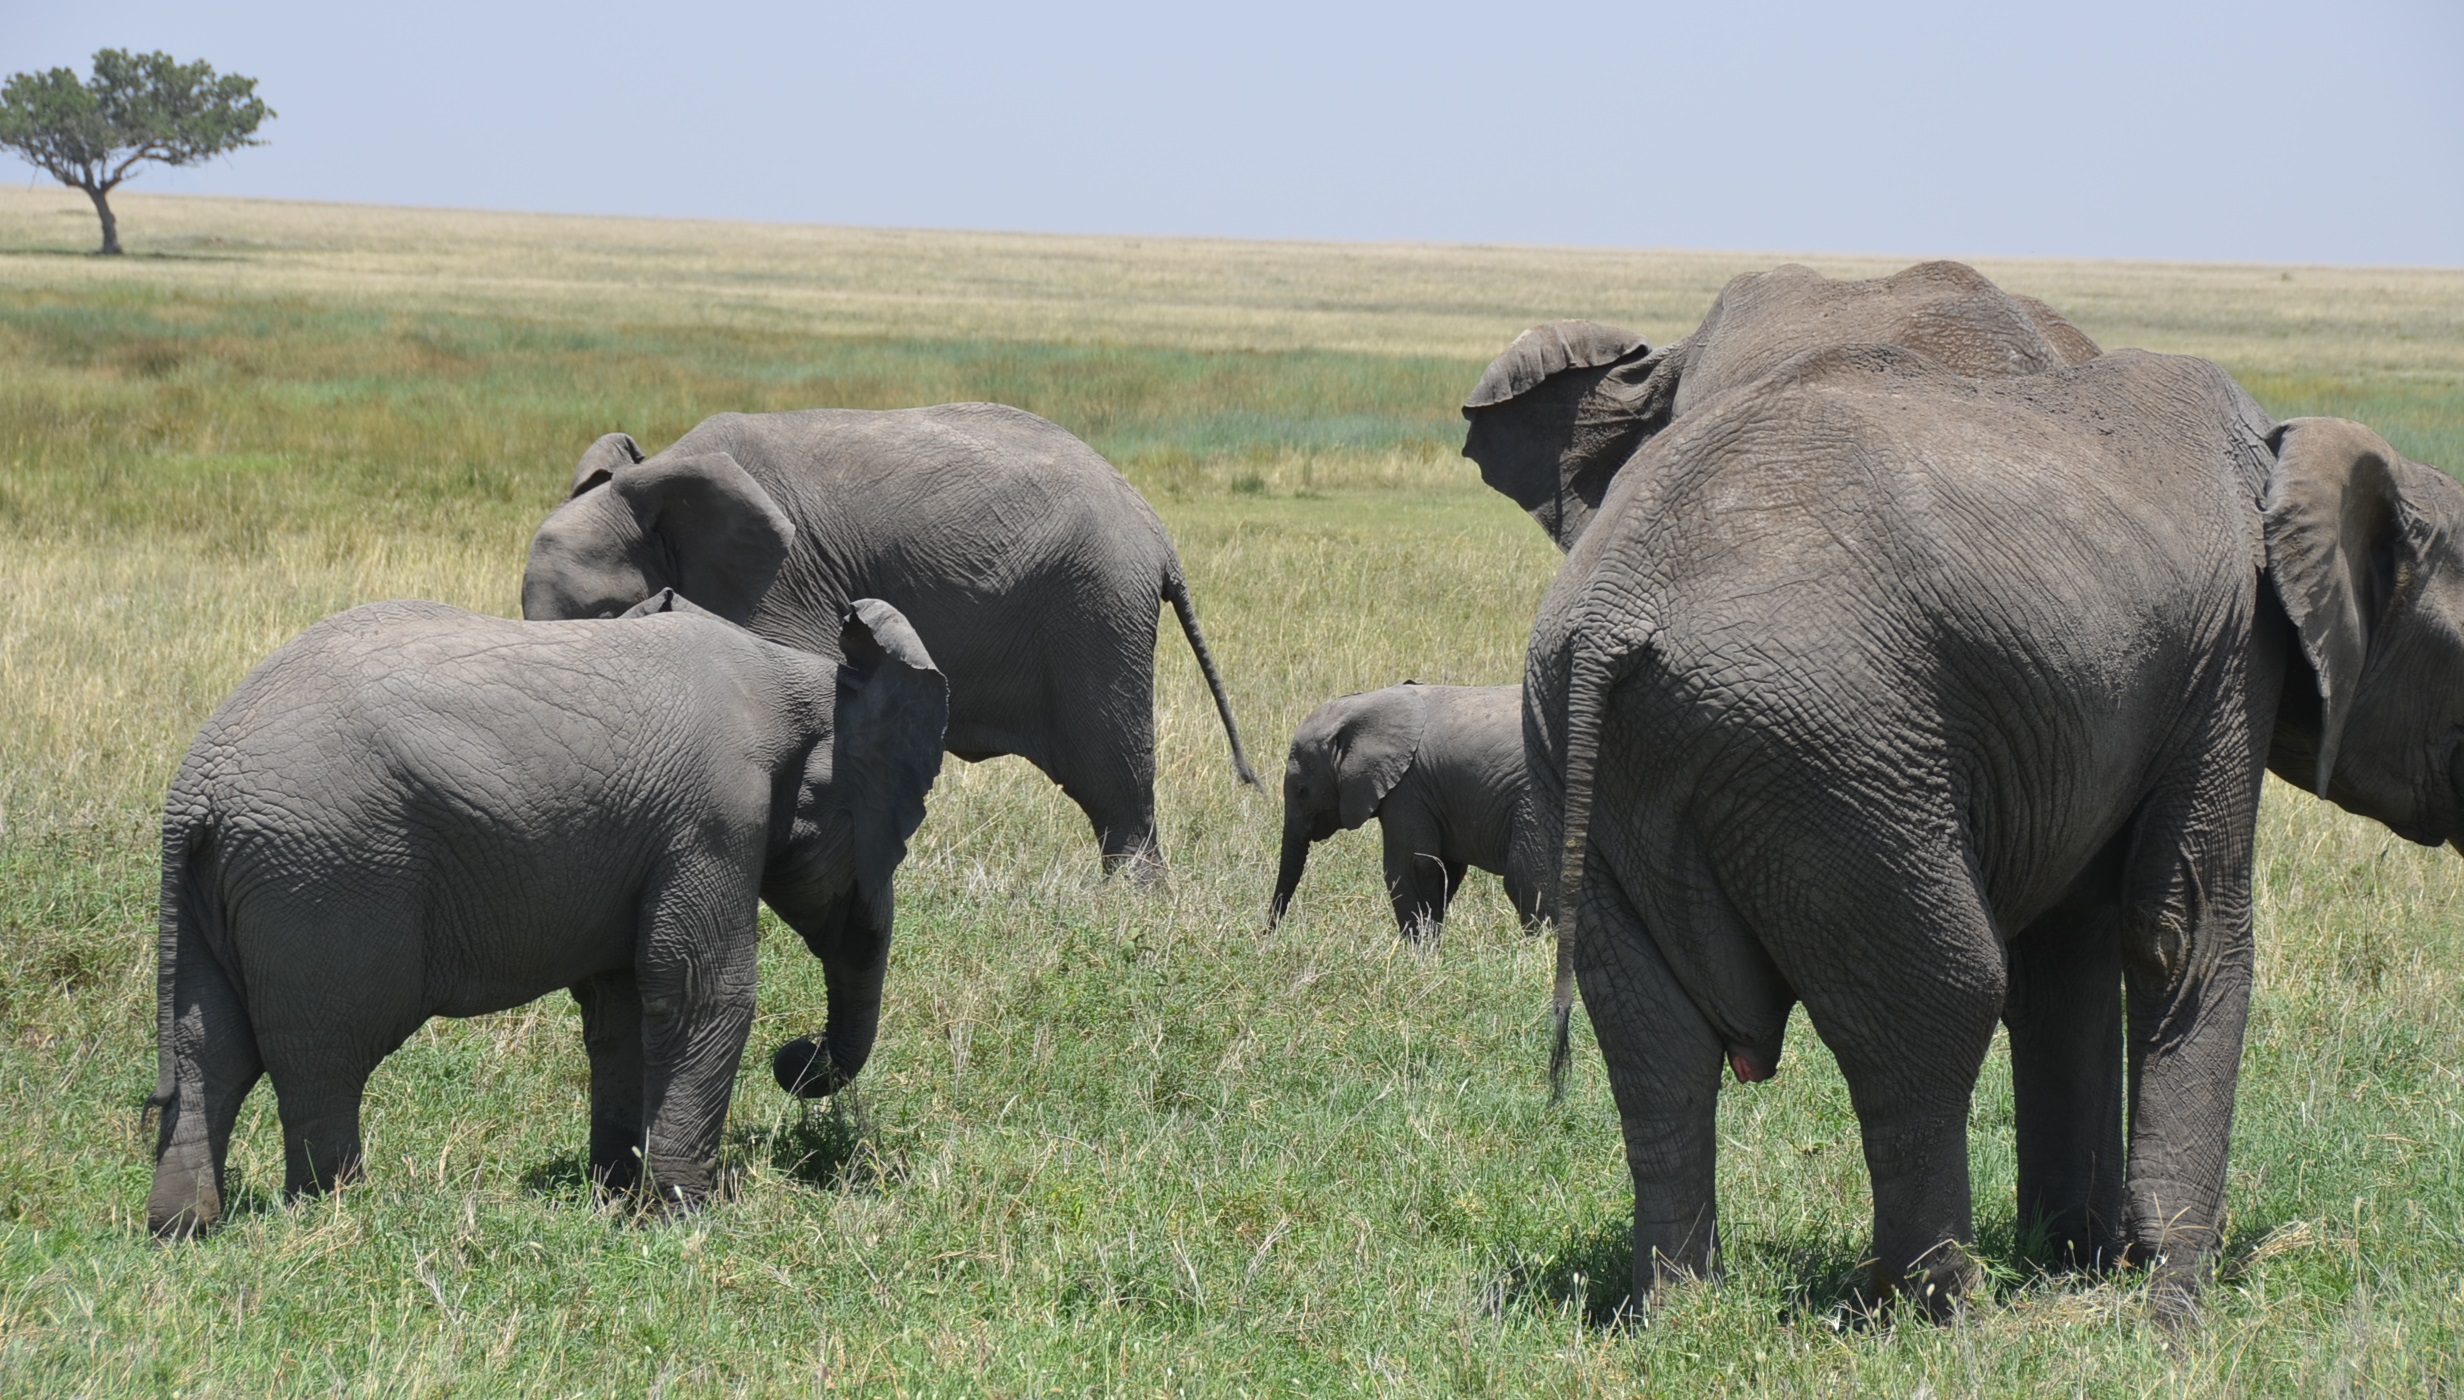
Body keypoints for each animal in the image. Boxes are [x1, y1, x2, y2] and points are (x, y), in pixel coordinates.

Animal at [146, 584, 941, 1242]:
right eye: (894, 841)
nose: (796, 1062)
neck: (799, 676)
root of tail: (195, 790)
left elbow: (624, 1005)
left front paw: (616, 1193)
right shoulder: (715, 815)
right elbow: (701, 992)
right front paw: (684, 1218)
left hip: (228, 889)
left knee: (210, 1049)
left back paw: (184, 1230)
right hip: (323, 875)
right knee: (324, 1054)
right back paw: (338, 1213)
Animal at [1271, 680, 1537, 941]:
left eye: (1301, 791)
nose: (1269, 934)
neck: (1363, 703)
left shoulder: (1407, 789)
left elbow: (1411, 867)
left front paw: (1418, 951)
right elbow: (1445, 869)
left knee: (1523, 876)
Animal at [1517, 335, 2464, 1311]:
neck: (2290, 458)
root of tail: (1612, 616)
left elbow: (2072, 952)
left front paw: (2084, 1260)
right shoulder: (2231, 656)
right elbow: (2182, 935)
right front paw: (2172, 1308)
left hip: (1585, 758)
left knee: (1654, 1046)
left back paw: (1682, 1315)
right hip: (1831, 756)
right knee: (1941, 1001)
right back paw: (1947, 1310)